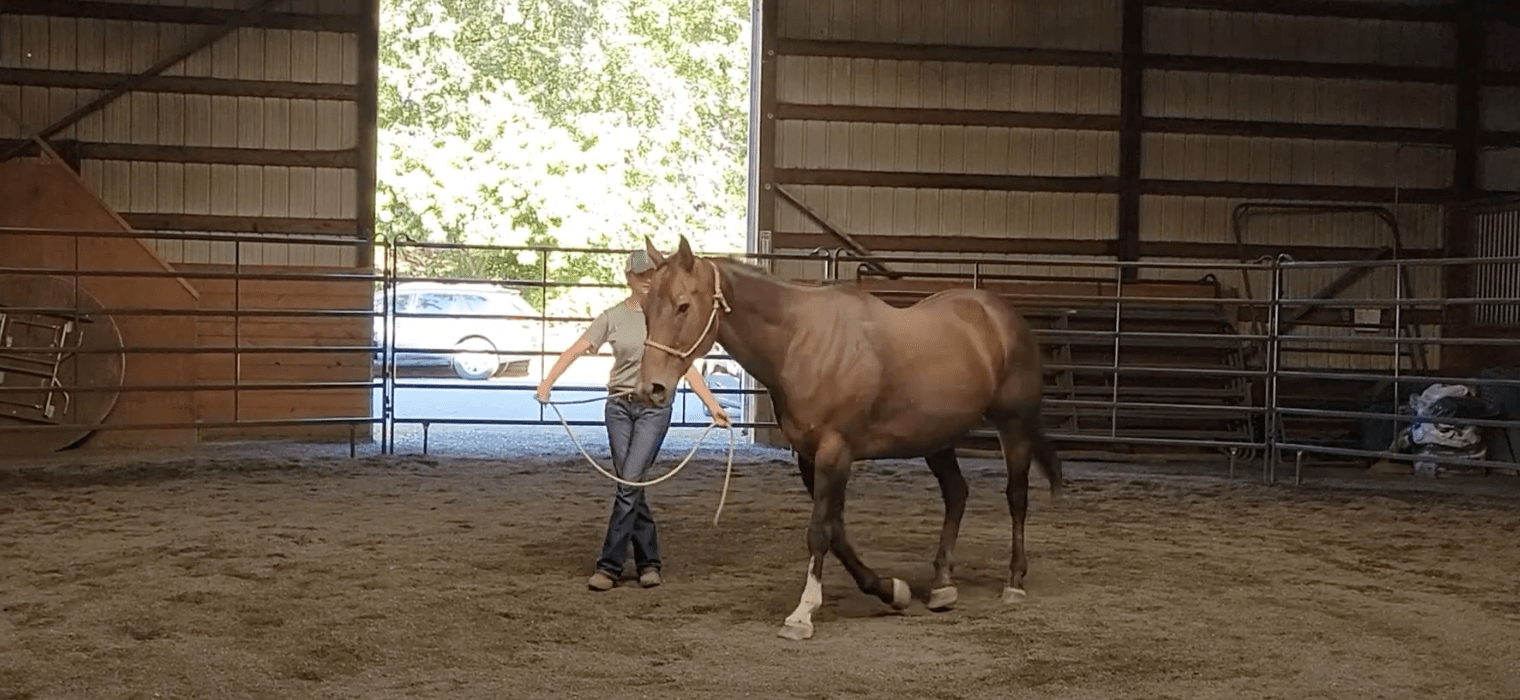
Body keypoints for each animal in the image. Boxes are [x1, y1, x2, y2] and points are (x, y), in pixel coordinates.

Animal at [635, 235, 1064, 637]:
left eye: (683, 306)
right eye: (646, 309)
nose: (651, 388)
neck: (800, 341)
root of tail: (1000, 314)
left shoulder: (834, 452)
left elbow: (820, 532)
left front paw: (803, 613)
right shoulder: (811, 457)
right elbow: (837, 532)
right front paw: (892, 591)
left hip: (1013, 424)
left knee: (1017, 496)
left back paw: (1014, 582)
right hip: (937, 438)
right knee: (957, 493)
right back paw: (943, 584)